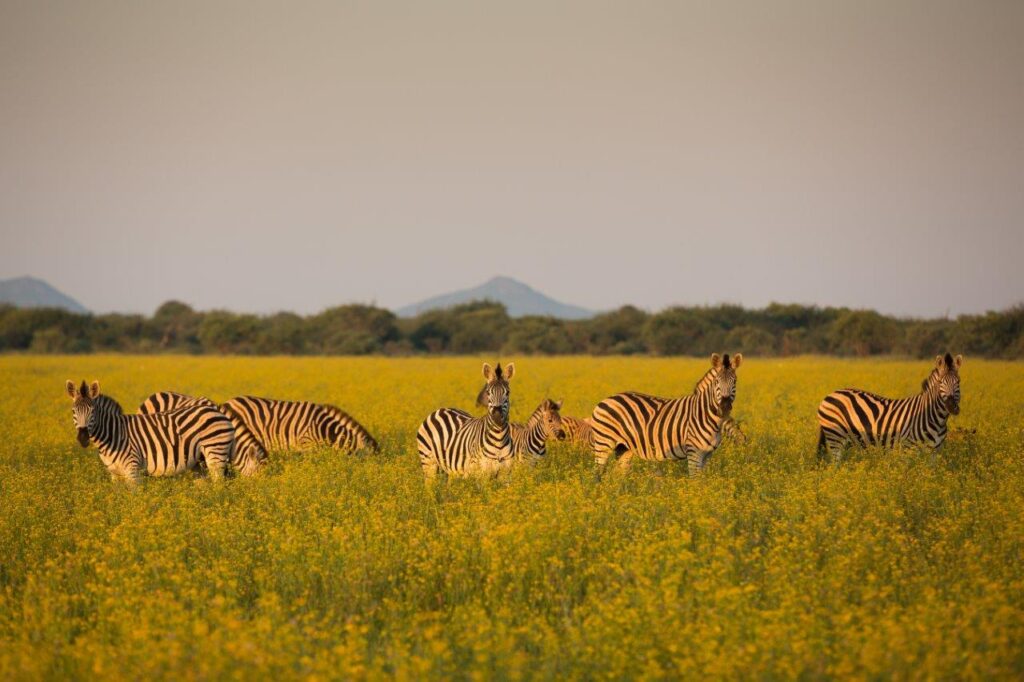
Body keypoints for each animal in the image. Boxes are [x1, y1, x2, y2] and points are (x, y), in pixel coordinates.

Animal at [66, 380, 235, 483]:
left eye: (92, 411)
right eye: (73, 411)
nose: (83, 437)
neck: (113, 434)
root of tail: (219, 412)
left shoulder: (133, 469)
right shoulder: (114, 474)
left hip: (215, 454)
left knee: (219, 485)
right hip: (199, 462)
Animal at [591, 353, 742, 475]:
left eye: (734, 381)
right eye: (717, 381)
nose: (725, 407)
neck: (704, 413)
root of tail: (605, 400)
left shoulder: (707, 455)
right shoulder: (694, 452)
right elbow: (695, 479)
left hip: (623, 448)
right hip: (603, 443)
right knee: (597, 474)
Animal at [817, 353, 963, 461]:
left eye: (958, 382)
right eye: (940, 382)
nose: (951, 406)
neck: (935, 418)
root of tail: (830, 394)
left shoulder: (935, 451)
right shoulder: (907, 448)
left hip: (848, 440)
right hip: (835, 437)